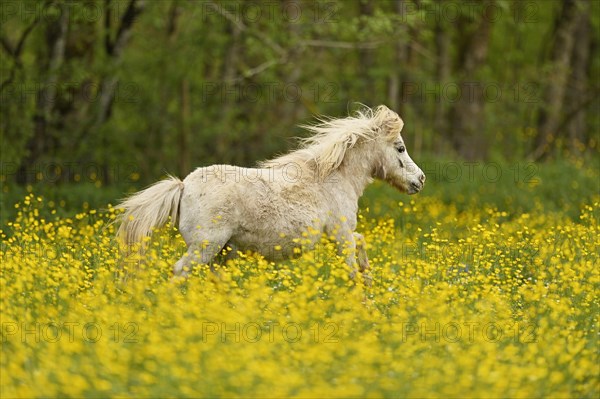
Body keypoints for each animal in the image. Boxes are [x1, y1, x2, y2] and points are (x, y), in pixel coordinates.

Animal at [116, 104, 426, 282]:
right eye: (400, 148)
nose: (420, 180)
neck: (332, 179)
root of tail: (183, 186)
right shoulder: (340, 235)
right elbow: (352, 267)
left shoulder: (342, 235)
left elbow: (361, 247)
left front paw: (369, 281)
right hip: (205, 247)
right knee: (180, 272)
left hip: (221, 253)